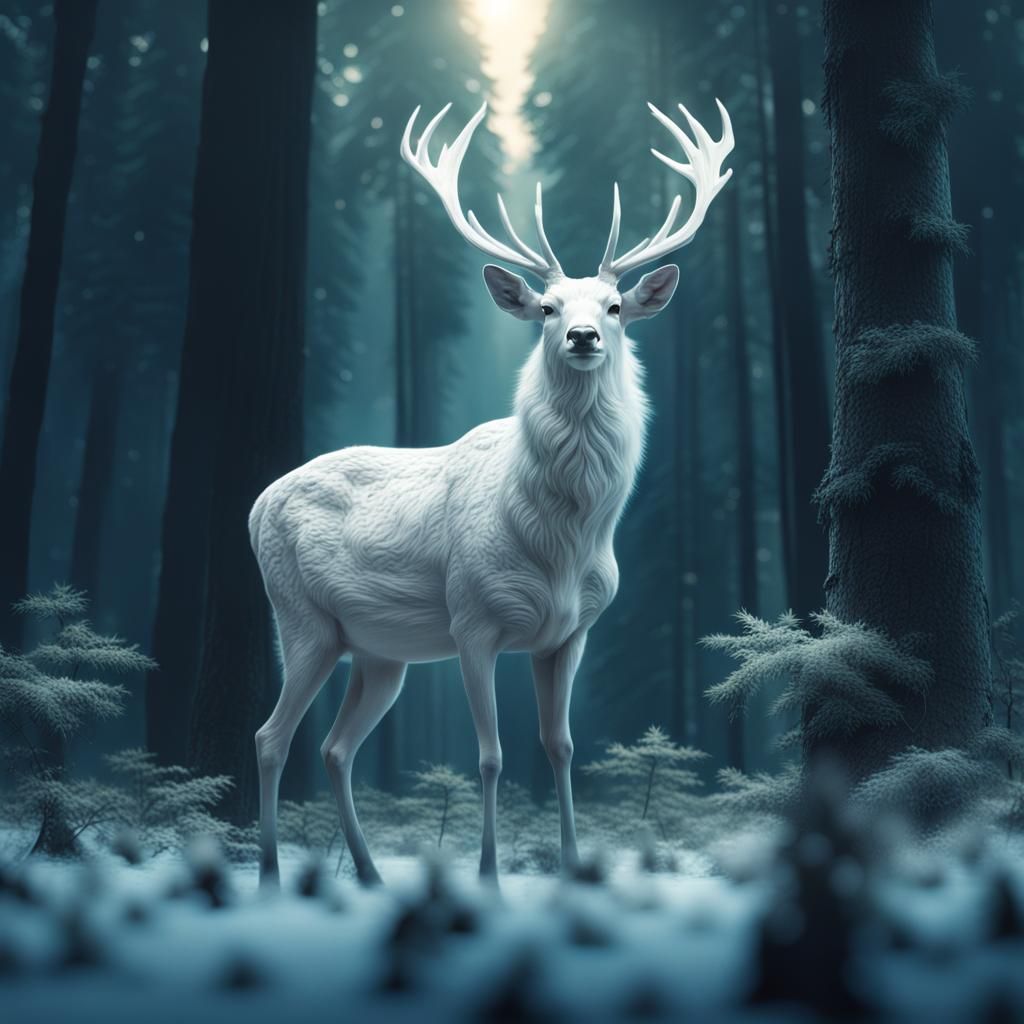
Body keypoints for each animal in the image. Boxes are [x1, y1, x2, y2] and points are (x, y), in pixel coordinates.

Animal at [250, 97, 734, 887]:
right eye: (545, 306)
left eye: (614, 306)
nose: (581, 336)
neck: (563, 540)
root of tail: (257, 501)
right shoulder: (471, 621)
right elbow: (489, 756)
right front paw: (489, 878)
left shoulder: (569, 632)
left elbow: (560, 746)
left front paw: (571, 864)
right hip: (302, 620)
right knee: (271, 736)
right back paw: (267, 878)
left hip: (380, 653)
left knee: (335, 747)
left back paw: (370, 873)